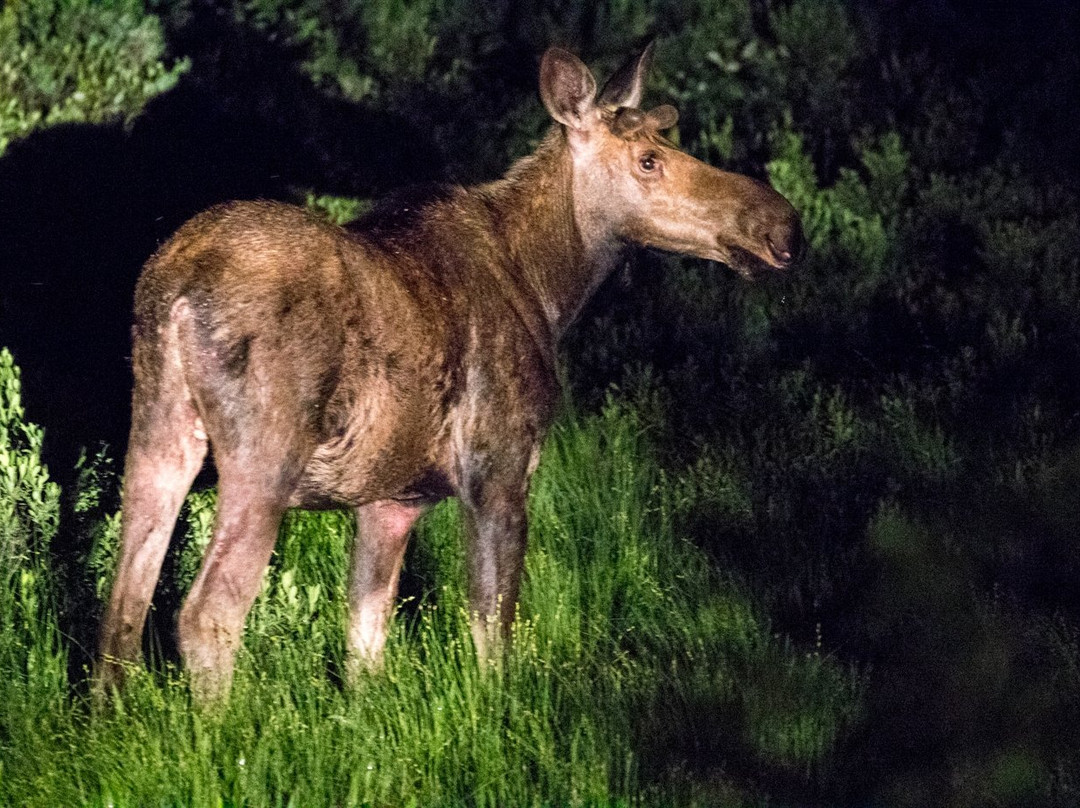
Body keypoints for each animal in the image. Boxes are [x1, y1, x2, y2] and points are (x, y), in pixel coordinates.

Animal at [96, 43, 803, 701]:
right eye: (649, 160)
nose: (783, 224)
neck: (553, 285)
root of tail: (178, 289)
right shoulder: (499, 469)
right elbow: (492, 632)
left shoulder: (391, 500)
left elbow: (366, 639)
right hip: (263, 456)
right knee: (207, 611)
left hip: (158, 431)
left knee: (123, 602)